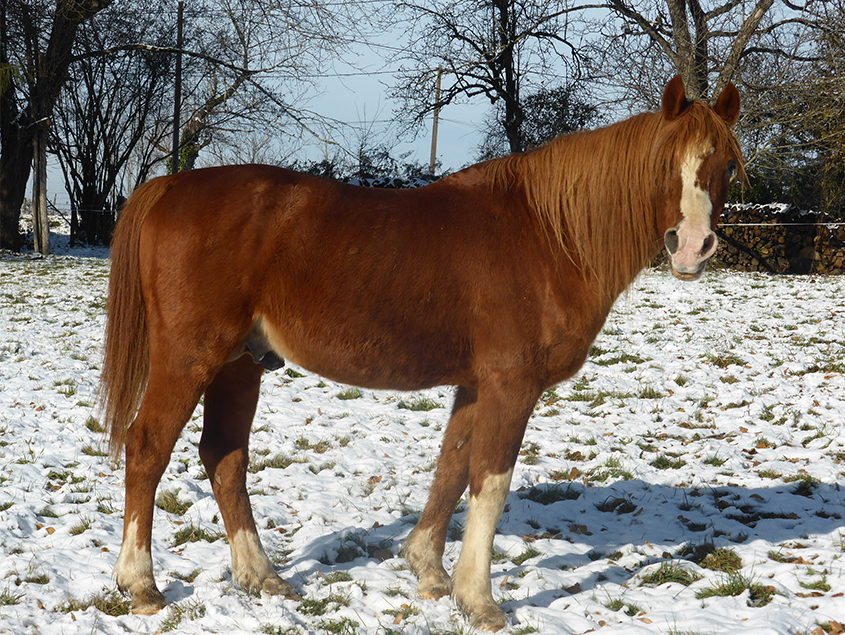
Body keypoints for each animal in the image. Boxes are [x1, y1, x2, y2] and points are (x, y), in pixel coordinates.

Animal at [100, 76, 740, 632]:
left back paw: (262, 577)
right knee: (148, 447)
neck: (546, 234)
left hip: (239, 365)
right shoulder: (512, 384)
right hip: (190, 358)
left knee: (224, 456)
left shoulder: (476, 384)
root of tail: (169, 187)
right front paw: (480, 601)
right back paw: (141, 584)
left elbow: (452, 469)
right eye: (665, 161)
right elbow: (490, 483)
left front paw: (430, 574)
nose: (692, 246)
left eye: (727, 165)